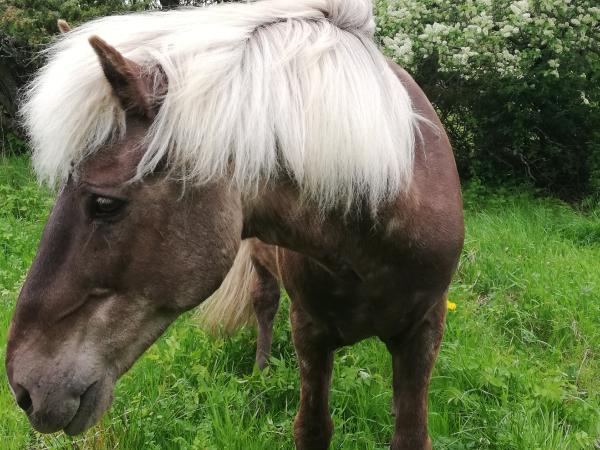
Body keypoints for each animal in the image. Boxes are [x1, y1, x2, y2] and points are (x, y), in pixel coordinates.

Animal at [5, 1, 464, 448]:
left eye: (104, 203)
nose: (23, 390)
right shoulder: (309, 330)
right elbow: (312, 427)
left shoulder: (423, 331)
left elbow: (409, 433)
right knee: (264, 302)